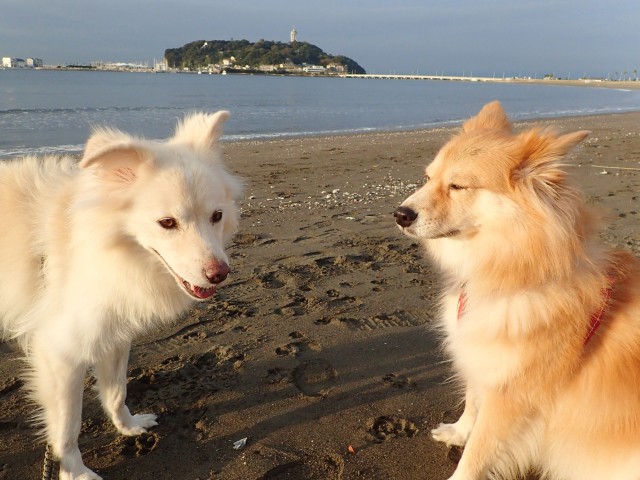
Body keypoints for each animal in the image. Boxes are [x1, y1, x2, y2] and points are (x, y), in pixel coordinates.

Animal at [0, 110, 242, 478]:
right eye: (167, 223)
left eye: (216, 216)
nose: (220, 274)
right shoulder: (60, 353)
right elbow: (67, 427)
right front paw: (75, 472)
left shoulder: (114, 334)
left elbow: (116, 391)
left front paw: (127, 427)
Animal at [396, 99, 640, 478]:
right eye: (427, 178)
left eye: (458, 186)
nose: (400, 214)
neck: (513, 272)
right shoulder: (482, 357)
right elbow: (472, 400)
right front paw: (459, 431)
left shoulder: (514, 395)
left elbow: (478, 452)